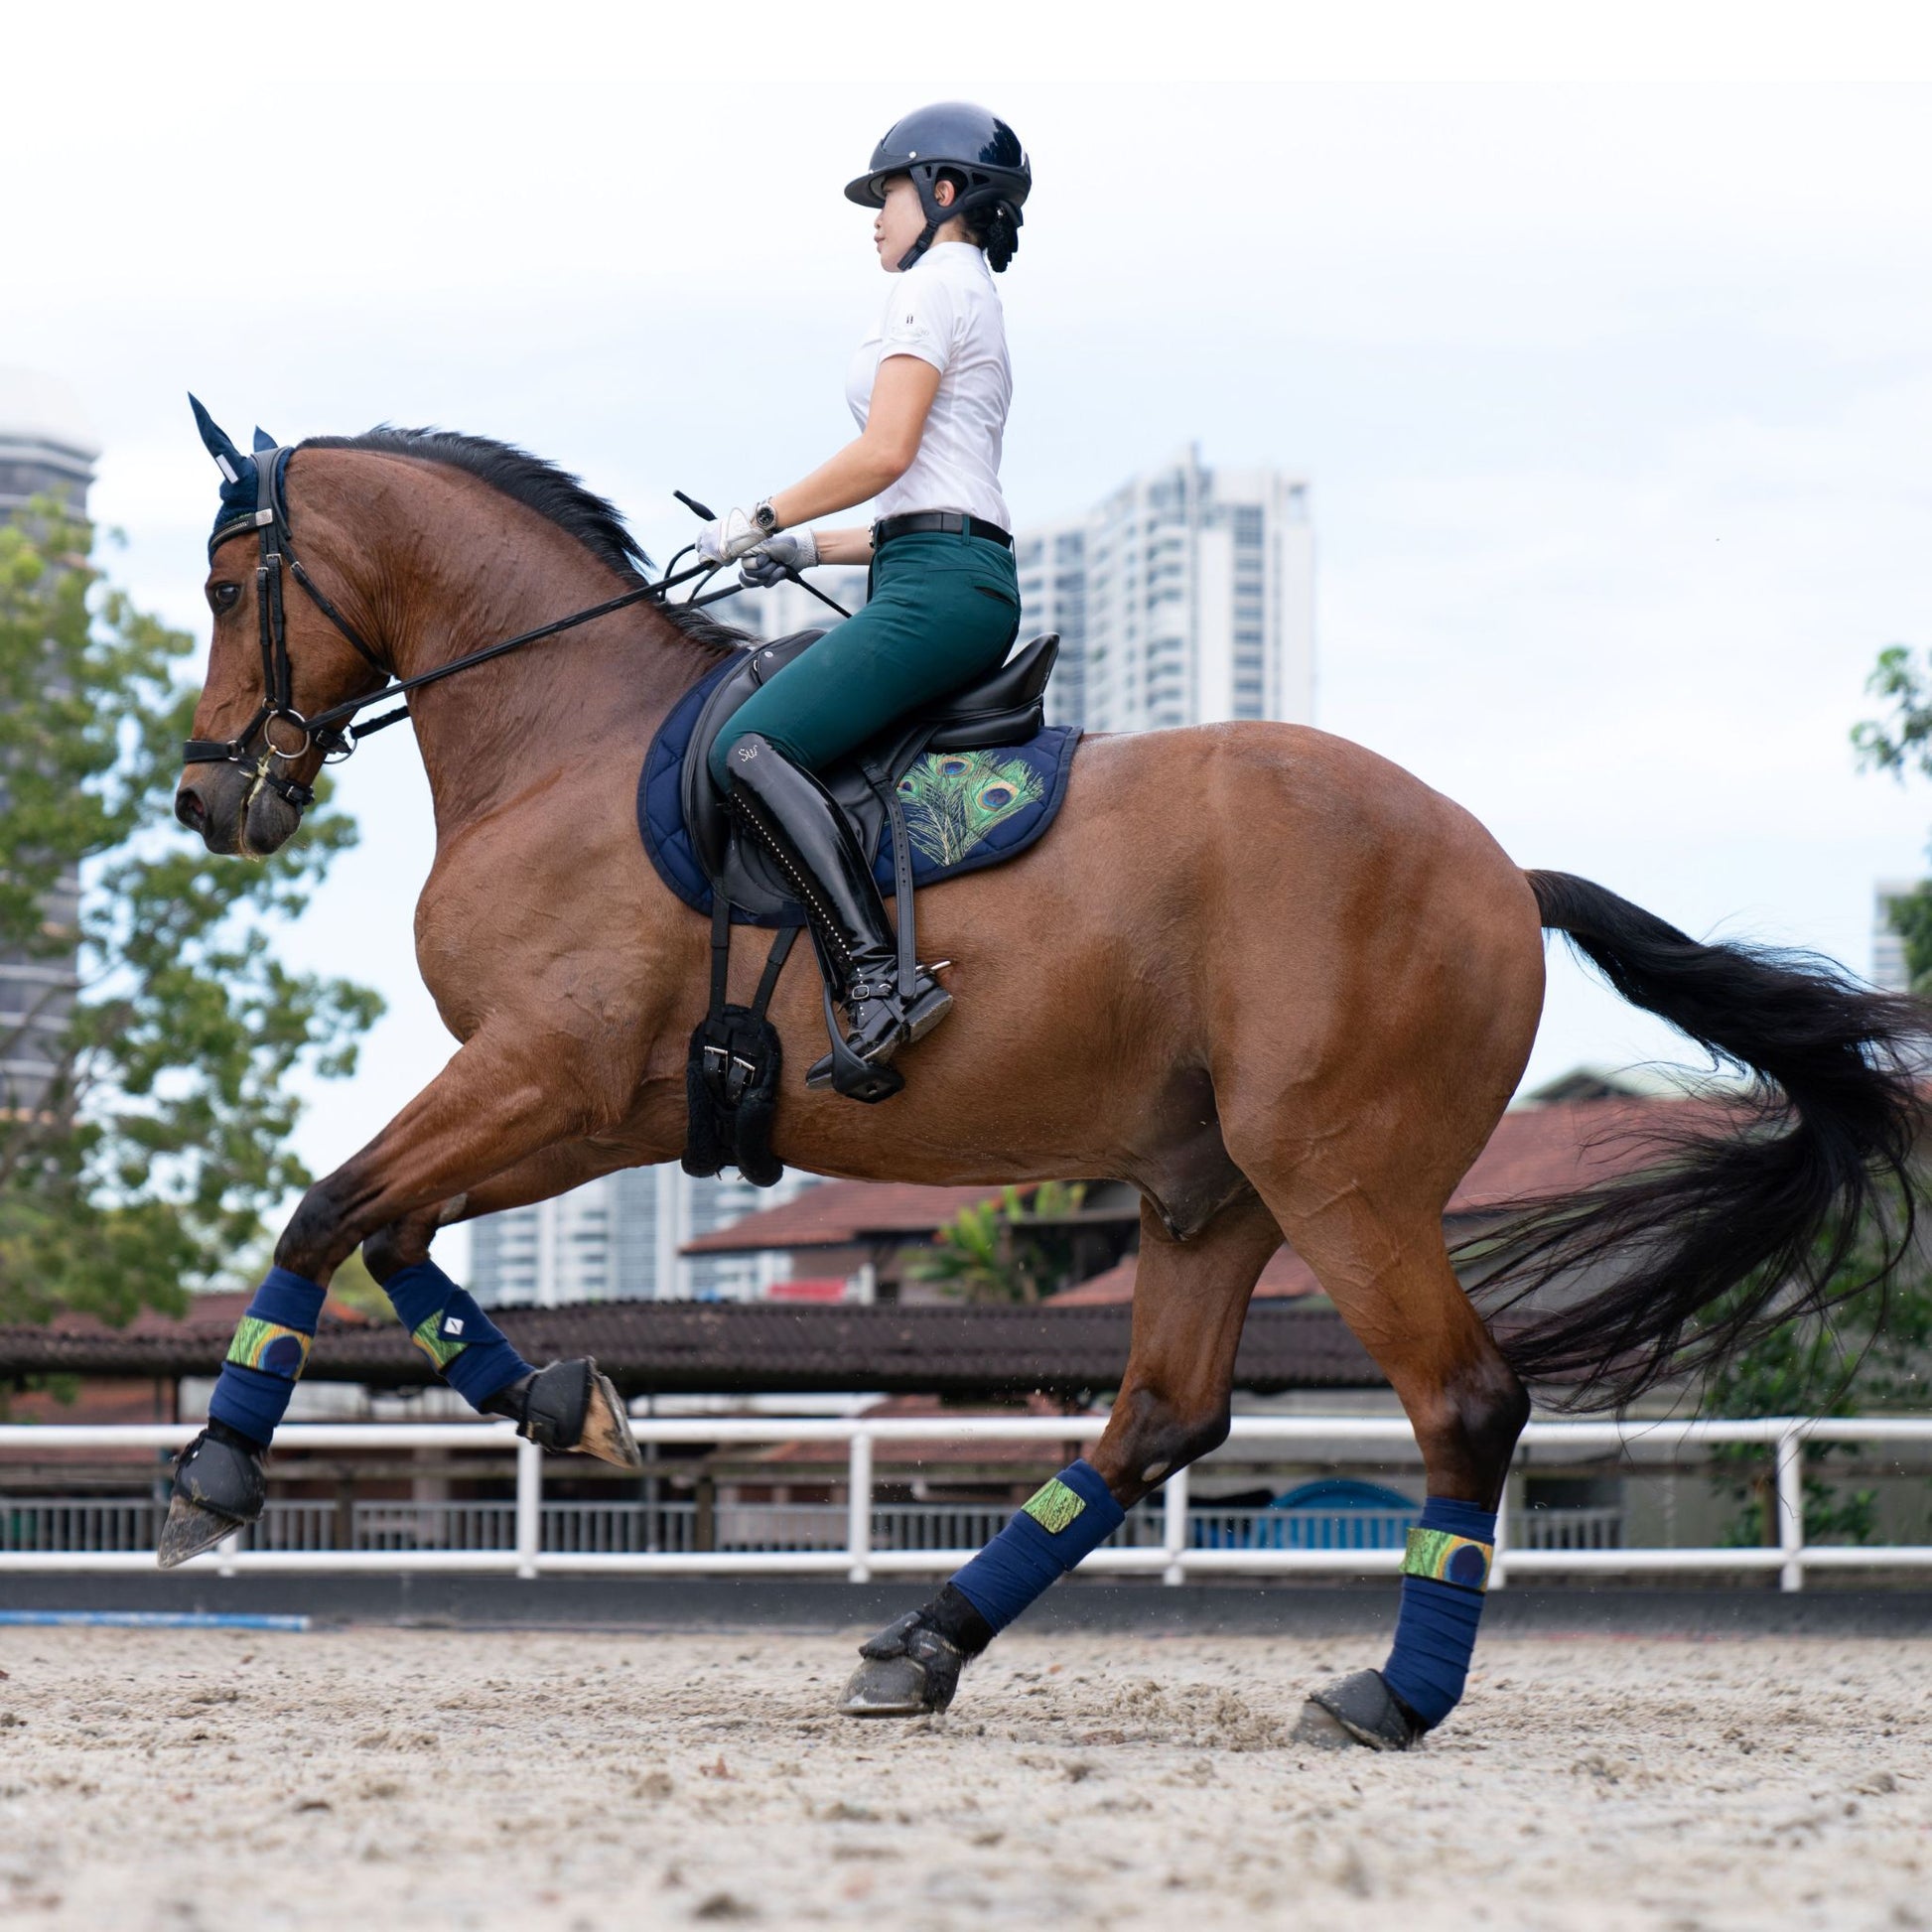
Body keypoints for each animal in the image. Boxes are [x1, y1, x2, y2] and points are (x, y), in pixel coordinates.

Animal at [172, 420, 1926, 1749]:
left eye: (227, 584)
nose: (207, 801)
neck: (567, 738)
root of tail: (1501, 870)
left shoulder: (546, 1070)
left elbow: (328, 1206)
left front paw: (215, 1474)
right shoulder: (592, 1105)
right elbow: (393, 1232)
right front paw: (559, 1401)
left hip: (1340, 1179)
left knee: (1461, 1402)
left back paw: (1388, 1695)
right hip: (1212, 1185)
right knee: (1161, 1414)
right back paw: (922, 1643)